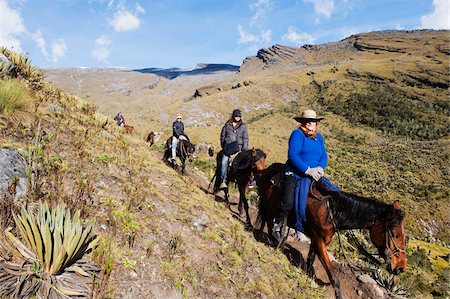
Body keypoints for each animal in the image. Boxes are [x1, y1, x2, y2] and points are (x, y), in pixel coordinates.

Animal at [256, 164, 408, 299]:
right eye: (394, 234)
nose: (401, 268)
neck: (331, 211)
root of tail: (267, 170)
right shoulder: (319, 241)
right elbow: (333, 274)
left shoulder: (317, 240)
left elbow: (310, 258)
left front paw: (308, 275)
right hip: (269, 208)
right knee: (270, 223)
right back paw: (273, 241)